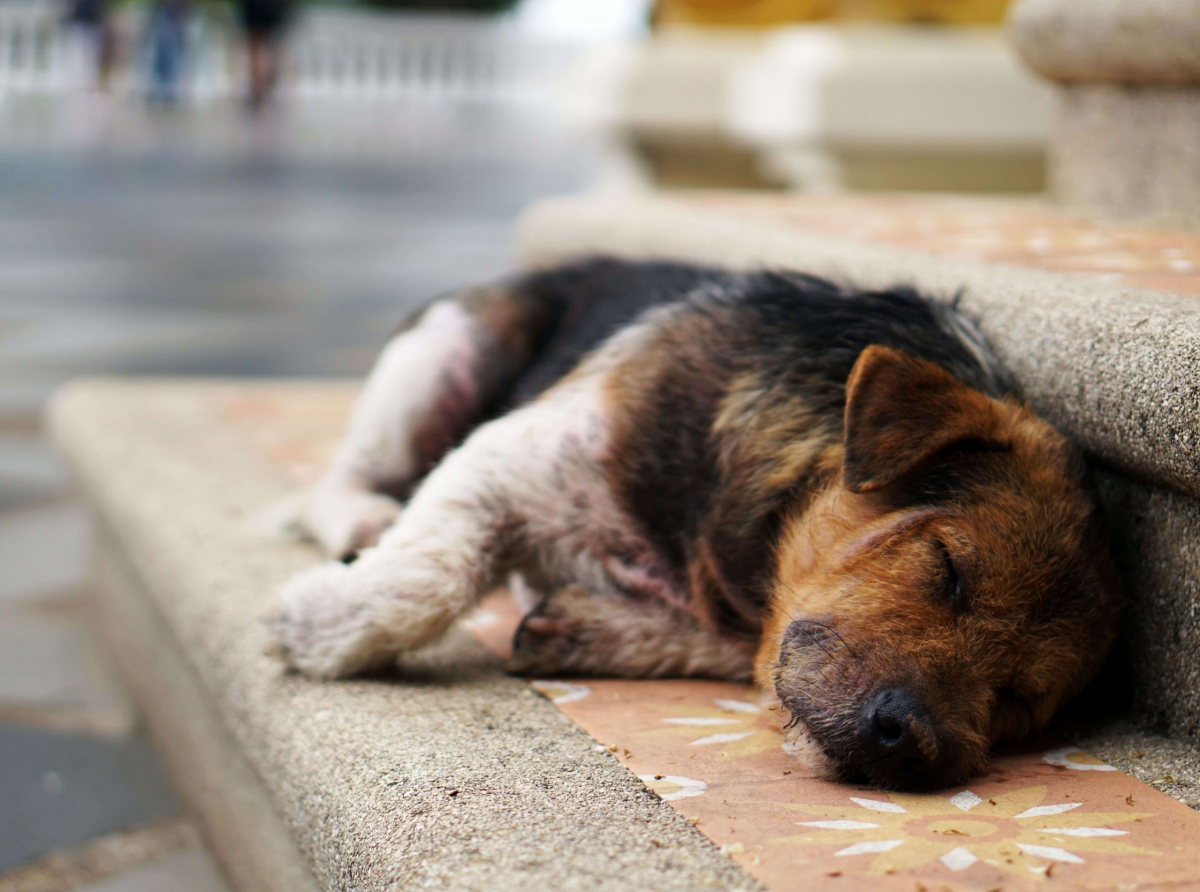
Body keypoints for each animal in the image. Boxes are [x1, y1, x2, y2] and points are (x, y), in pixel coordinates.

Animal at [267, 258, 1118, 787]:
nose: (913, 745)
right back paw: (361, 521)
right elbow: (430, 574)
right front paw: (320, 627)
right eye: (948, 569)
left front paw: (587, 626)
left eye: (1020, 701)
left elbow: (728, 646)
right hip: (445, 351)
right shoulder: (512, 456)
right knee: (337, 481)